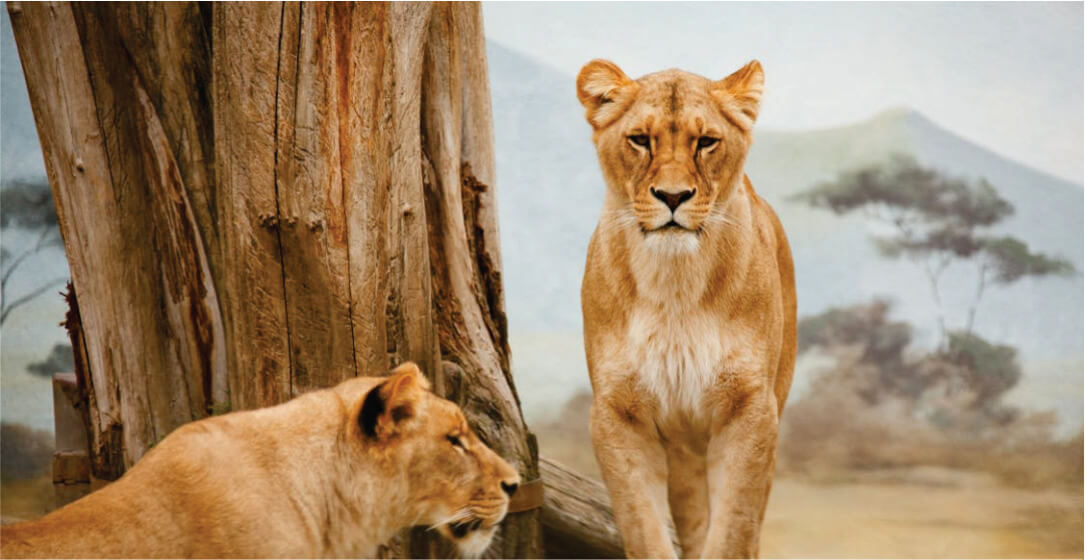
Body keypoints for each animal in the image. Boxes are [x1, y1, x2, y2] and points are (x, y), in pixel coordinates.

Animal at [577, 59, 796, 559]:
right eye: (640, 139)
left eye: (706, 141)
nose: (673, 197)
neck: (674, 285)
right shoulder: (617, 413)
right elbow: (644, 528)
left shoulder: (750, 409)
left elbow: (733, 532)